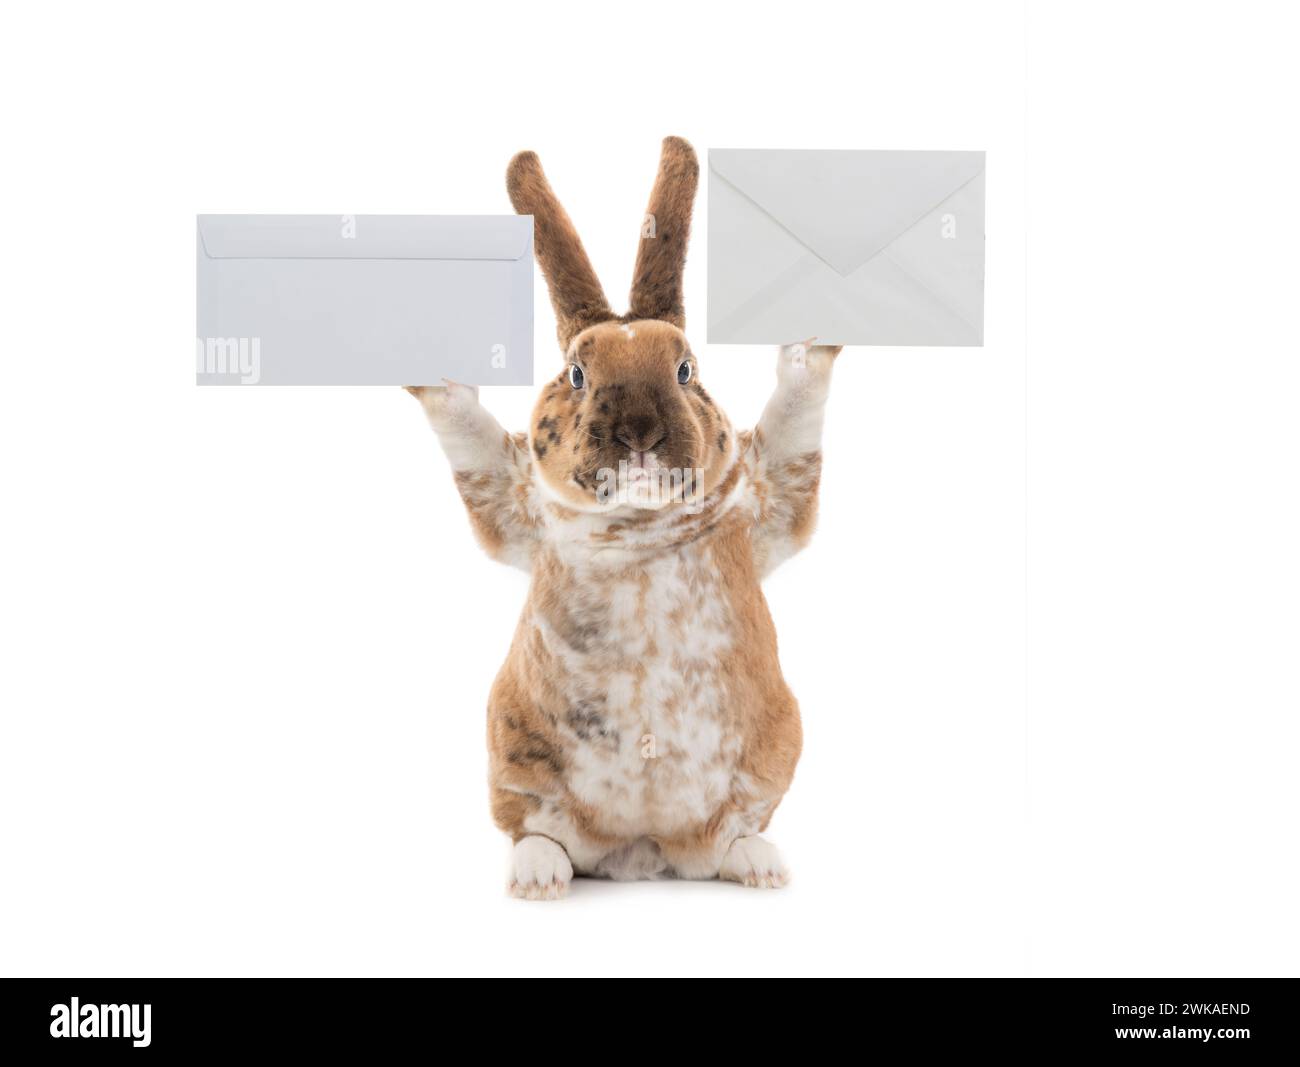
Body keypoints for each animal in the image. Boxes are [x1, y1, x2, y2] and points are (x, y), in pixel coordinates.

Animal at [408, 137, 840, 898]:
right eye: (579, 375)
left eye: (687, 370)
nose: (639, 429)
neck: (637, 525)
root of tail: (643, 851)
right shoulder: (511, 501)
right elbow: (471, 438)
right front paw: (435, 375)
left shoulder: (769, 498)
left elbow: (795, 423)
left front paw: (812, 343)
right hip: (513, 756)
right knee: (538, 831)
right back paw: (539, 877)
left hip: (770, 755)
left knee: (728, 840)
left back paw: (760, 863)